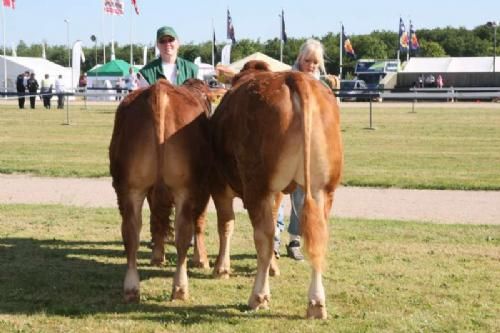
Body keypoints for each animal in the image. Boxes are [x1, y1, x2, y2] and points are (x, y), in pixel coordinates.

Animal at [109, 79, 211, 302]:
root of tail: (159, 92)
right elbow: (199, 222)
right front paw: (202, 260)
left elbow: (157, 219)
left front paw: (157, 255)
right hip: (185, 188)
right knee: (184, 232)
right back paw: (180, 288)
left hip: (129, 188)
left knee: (131, 232)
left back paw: (131, 288)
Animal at [210, 61, 344, 318]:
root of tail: (294, 78)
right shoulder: (278, 193)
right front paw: (273, 268)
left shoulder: (220, 185)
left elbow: (226, 225)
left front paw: (221, 269)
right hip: (324, 189)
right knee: (318, 238)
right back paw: (316, 303)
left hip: (257, 186)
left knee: (263, 237)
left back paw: (258, 297)